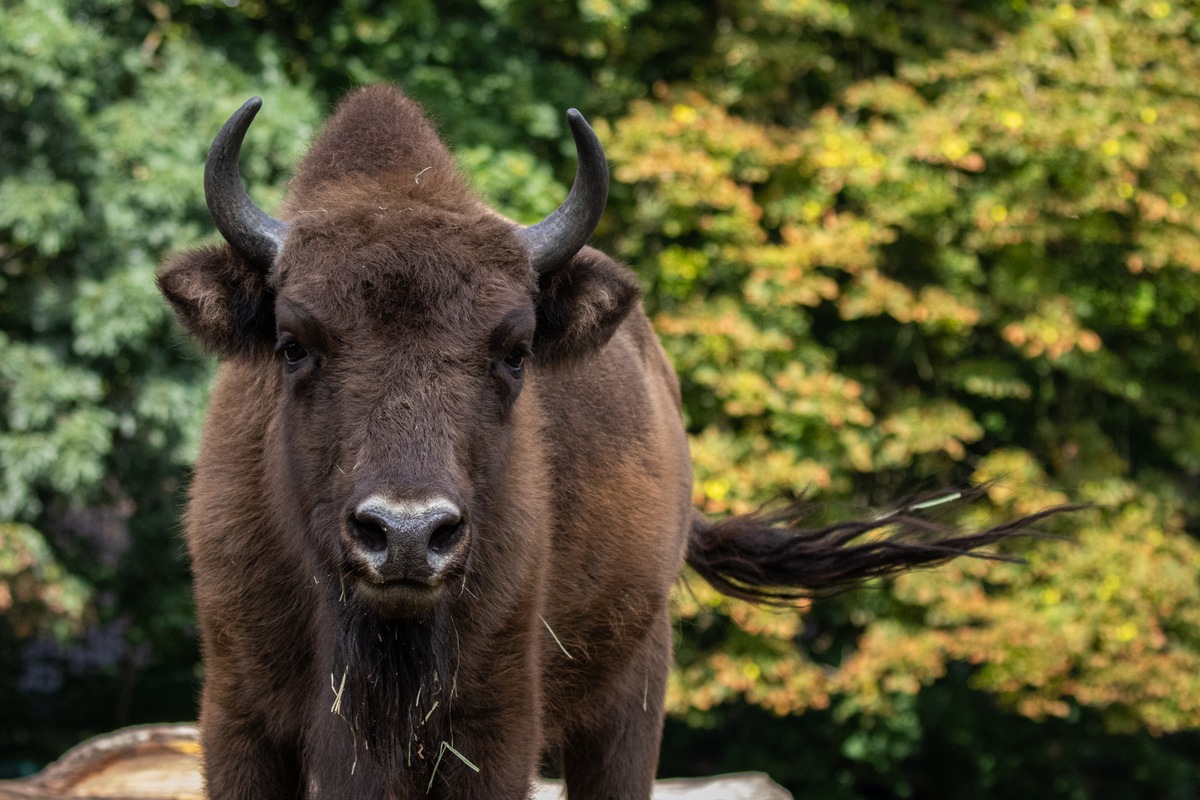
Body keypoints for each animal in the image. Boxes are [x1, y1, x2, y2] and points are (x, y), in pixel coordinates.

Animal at [157, 84, 1060, 796]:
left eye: (515, 349)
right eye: (292, 344)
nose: (407, 534)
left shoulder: (495, 726)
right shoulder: (240, 717)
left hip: (632, 695)